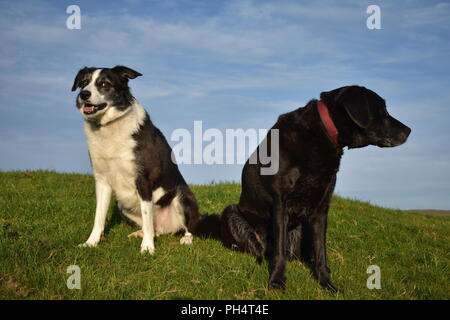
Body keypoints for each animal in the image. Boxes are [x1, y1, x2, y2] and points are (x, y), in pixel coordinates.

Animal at [71, 66, 199, 254]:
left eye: (104, 84)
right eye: (84, 82)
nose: (84, 94)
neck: (108, 126)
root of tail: (166, 227)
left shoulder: (142, 179)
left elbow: (146, 215)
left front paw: (147, 247)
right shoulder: (102, 180)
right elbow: (99, 216)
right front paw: (91, 242)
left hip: (181, 196)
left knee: (187, 227)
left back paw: (186, 239)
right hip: (121, 204)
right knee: (153, 228)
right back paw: (139, 233)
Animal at [195, 85, 410, 290]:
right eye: (382, 111)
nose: (409, 130)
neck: (323, 133)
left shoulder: (321, 209)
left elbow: (321, 252)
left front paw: (326, 283)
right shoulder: (280, 203)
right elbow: (280, 252)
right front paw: (276, 281)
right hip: (231, 213)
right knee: (262, 251)